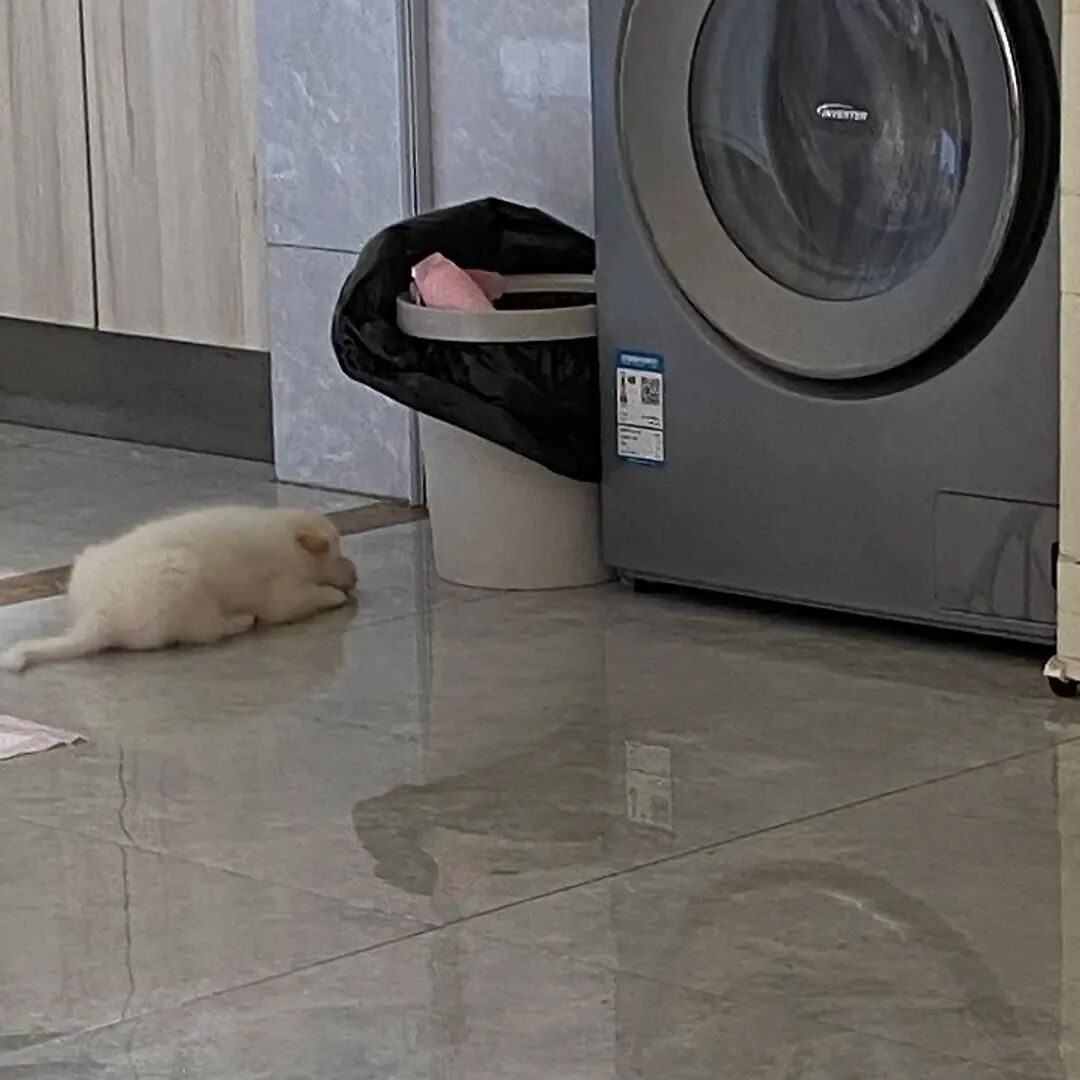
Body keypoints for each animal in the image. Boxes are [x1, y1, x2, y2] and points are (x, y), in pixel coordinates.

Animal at [1, 505, 357, 672]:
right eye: (337, 551)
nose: (355, 577)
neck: (292, 538)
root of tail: (97, 618)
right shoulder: (285, 595)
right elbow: (313, 597)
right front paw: (337, 595)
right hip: (188, 584)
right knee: (205, 632)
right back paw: (240, 621)